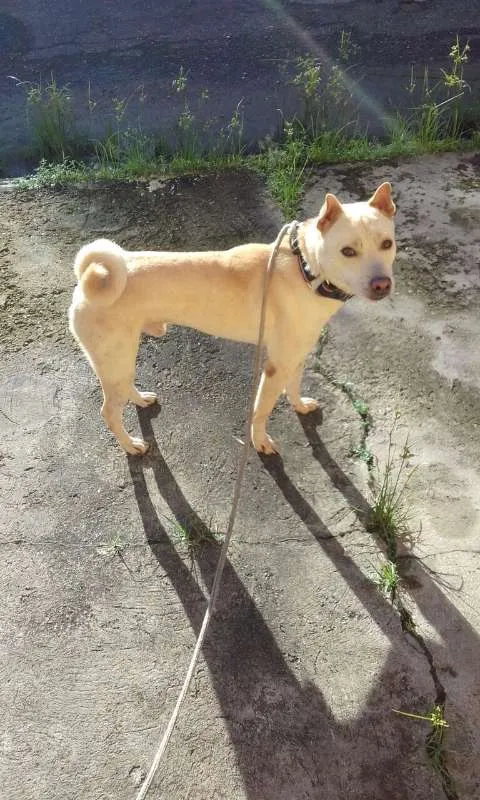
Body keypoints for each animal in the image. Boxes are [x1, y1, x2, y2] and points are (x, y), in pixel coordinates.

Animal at [69, 183, 396, 456]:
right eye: (348, 251)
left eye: (387, 244)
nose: (382, 285)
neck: (305, 268)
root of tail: (88, 281)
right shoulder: (275, 367)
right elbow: (261, 410)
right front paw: (259, 441)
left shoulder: (296, 356)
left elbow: (294, 386)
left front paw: (300, 406)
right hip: (114, 361)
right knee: (109, 412)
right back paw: (131, 445)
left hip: (122, 360)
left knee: (125, 387)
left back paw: (140, 400)